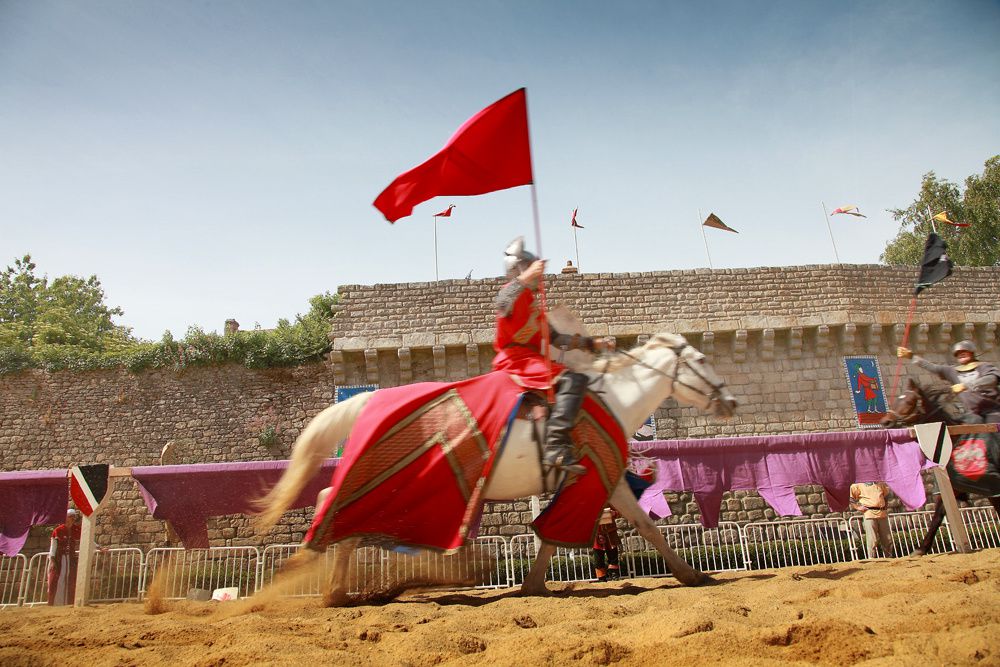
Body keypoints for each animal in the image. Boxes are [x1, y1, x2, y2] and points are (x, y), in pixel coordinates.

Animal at [256, 334, 744, 600]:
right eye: (702, 360)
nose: (731, 400)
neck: (614, 399)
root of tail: (367, 398)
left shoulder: (585, 482)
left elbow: (556, 534)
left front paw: (533, 585)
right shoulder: (599, 476)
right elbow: (644, 526)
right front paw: (692, 574)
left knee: (340, 514)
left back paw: (332, 586)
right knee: (335, 505)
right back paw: (320, 579)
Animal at [884, 378, 1000, 556]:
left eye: (910, 401)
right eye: (896, 400)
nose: (885, 421)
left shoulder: (991, 484)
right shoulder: (953, 486)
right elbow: (938, 514)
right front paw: (921, 548)